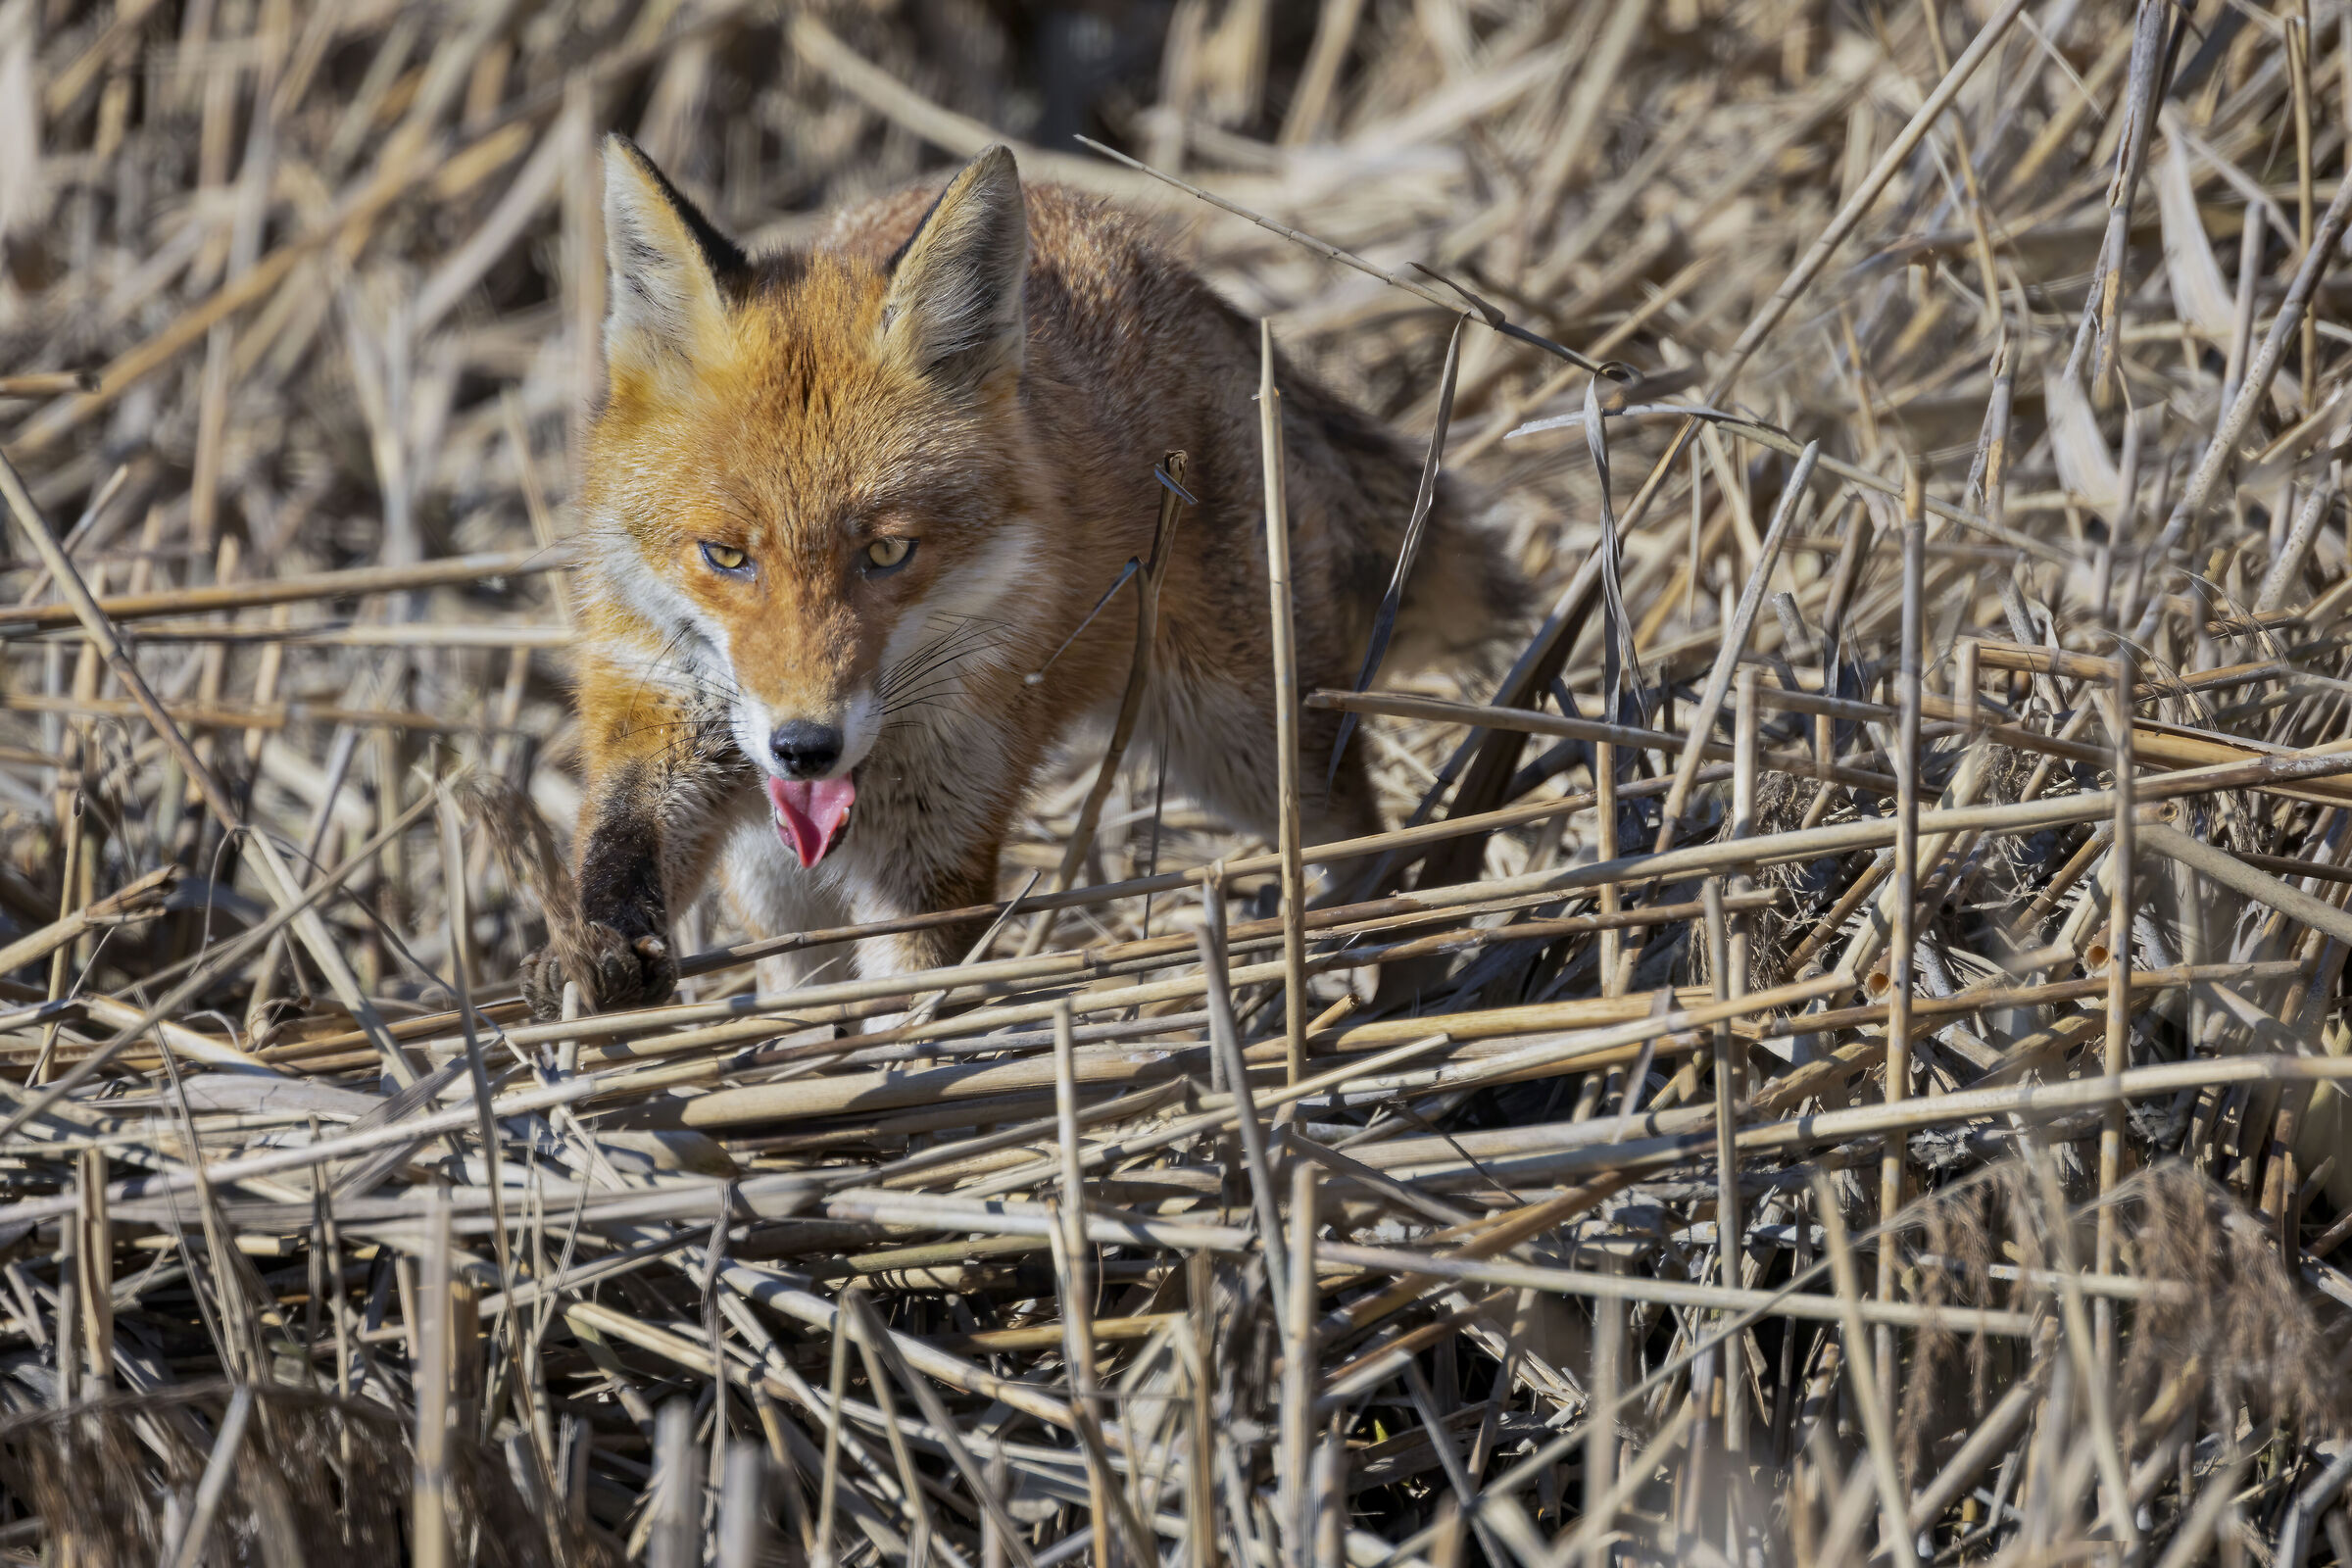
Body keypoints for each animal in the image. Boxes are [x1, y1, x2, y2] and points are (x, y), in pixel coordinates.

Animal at [517, 134, 1522, 1020]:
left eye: (888, 554)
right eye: (727, 556)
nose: (806, 747)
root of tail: (1158, 258)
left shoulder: (934, 854)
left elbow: (914, 1013)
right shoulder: (665, 720)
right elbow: (625, 840)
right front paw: (597, 953)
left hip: (1251, 745)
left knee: (1365, 840)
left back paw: (1381, 973)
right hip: (778, 880)